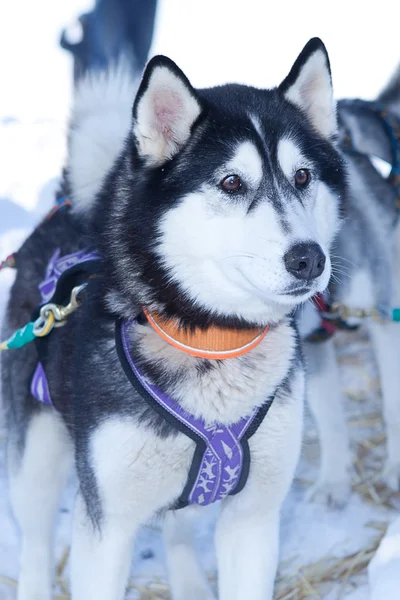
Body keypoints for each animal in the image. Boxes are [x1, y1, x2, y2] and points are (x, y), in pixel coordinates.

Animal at [1, 38, 346, 600]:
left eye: (302, 177)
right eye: (231, 182)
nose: (309, 258)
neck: (212, 339)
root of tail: (68, 207)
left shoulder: (253, 518)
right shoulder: (106, 527)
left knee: (177, 528)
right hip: (36, 454)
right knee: (34, 542)